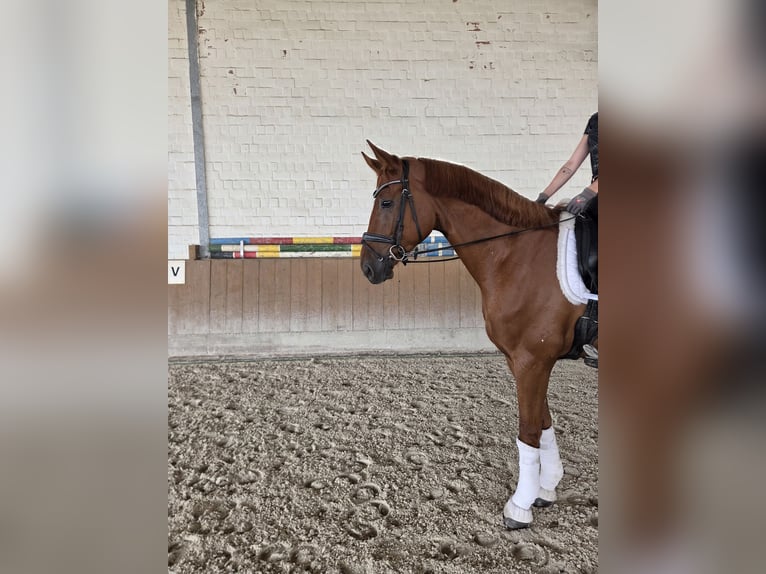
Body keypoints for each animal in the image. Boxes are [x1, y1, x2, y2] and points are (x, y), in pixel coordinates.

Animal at [359, 141, 591, 529]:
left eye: (387, 203)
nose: (367, 268)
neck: (518, 255)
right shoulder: (524, 361)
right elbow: (543, 423)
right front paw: (546, 490)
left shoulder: (532, 361)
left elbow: (528, 431)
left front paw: (519, 507)